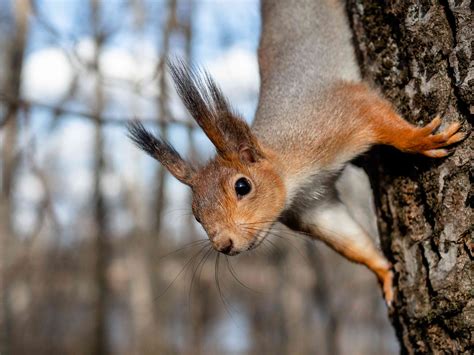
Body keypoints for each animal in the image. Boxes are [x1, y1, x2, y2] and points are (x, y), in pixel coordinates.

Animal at [127, 0, 466, 306]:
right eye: (196, 215)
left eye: (242, 186)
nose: (224, 244)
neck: (291, 173)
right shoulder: (312, 208)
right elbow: (348, 239)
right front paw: (382, 271)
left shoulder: (342, 112)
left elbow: (383, 123)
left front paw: (421, 140)